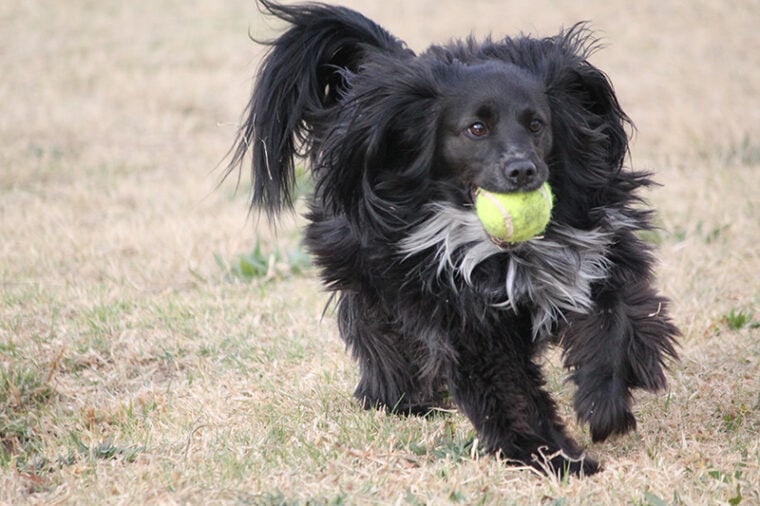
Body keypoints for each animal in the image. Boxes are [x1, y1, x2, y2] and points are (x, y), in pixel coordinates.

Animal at [226, 0, 676, 476]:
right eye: (476, 128)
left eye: (537, 124)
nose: (523, 170)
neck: (500, 252)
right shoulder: (464, 317)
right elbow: (510, 392)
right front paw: (551, 457)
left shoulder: (597, 256)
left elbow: (615, 323)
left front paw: (603, 408)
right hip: (365, 270)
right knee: (374, 327)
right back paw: (397, 396)